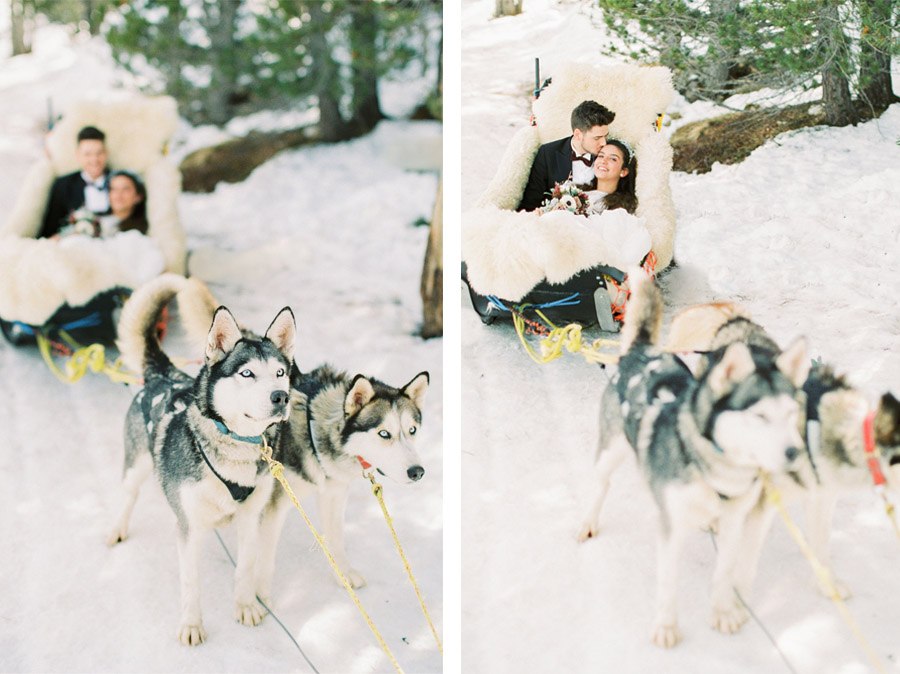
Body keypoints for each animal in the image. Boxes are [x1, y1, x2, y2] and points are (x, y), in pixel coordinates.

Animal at [105, 272, 296, 644]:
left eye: (280, 373)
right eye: (247, 373)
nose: (280, 397)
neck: (234, 447)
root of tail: (163, 373)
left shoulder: (250, 518)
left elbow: (246, 567)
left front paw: (245, 606)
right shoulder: (189, 528)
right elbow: (191, 582)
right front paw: (192, 624)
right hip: (136, 466)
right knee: (128, 495)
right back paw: (118, 526)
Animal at [576, 272, 808, 644]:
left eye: (790, 413)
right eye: (759, 416)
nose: (793, 453)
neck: (714, 476)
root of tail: (643, 351)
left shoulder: (737, 522)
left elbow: (726, 571)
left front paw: (723, 611)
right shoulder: (671, 529)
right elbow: (668, 582)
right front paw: (666, 626)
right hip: (611, 452)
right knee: (601, 484)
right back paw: (588, 520)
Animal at [660, 304, 900, 592]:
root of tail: (735, 323)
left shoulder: (821, 497)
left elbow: (821, 545)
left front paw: (827, 584)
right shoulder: (765, 502)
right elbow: (746, 562)